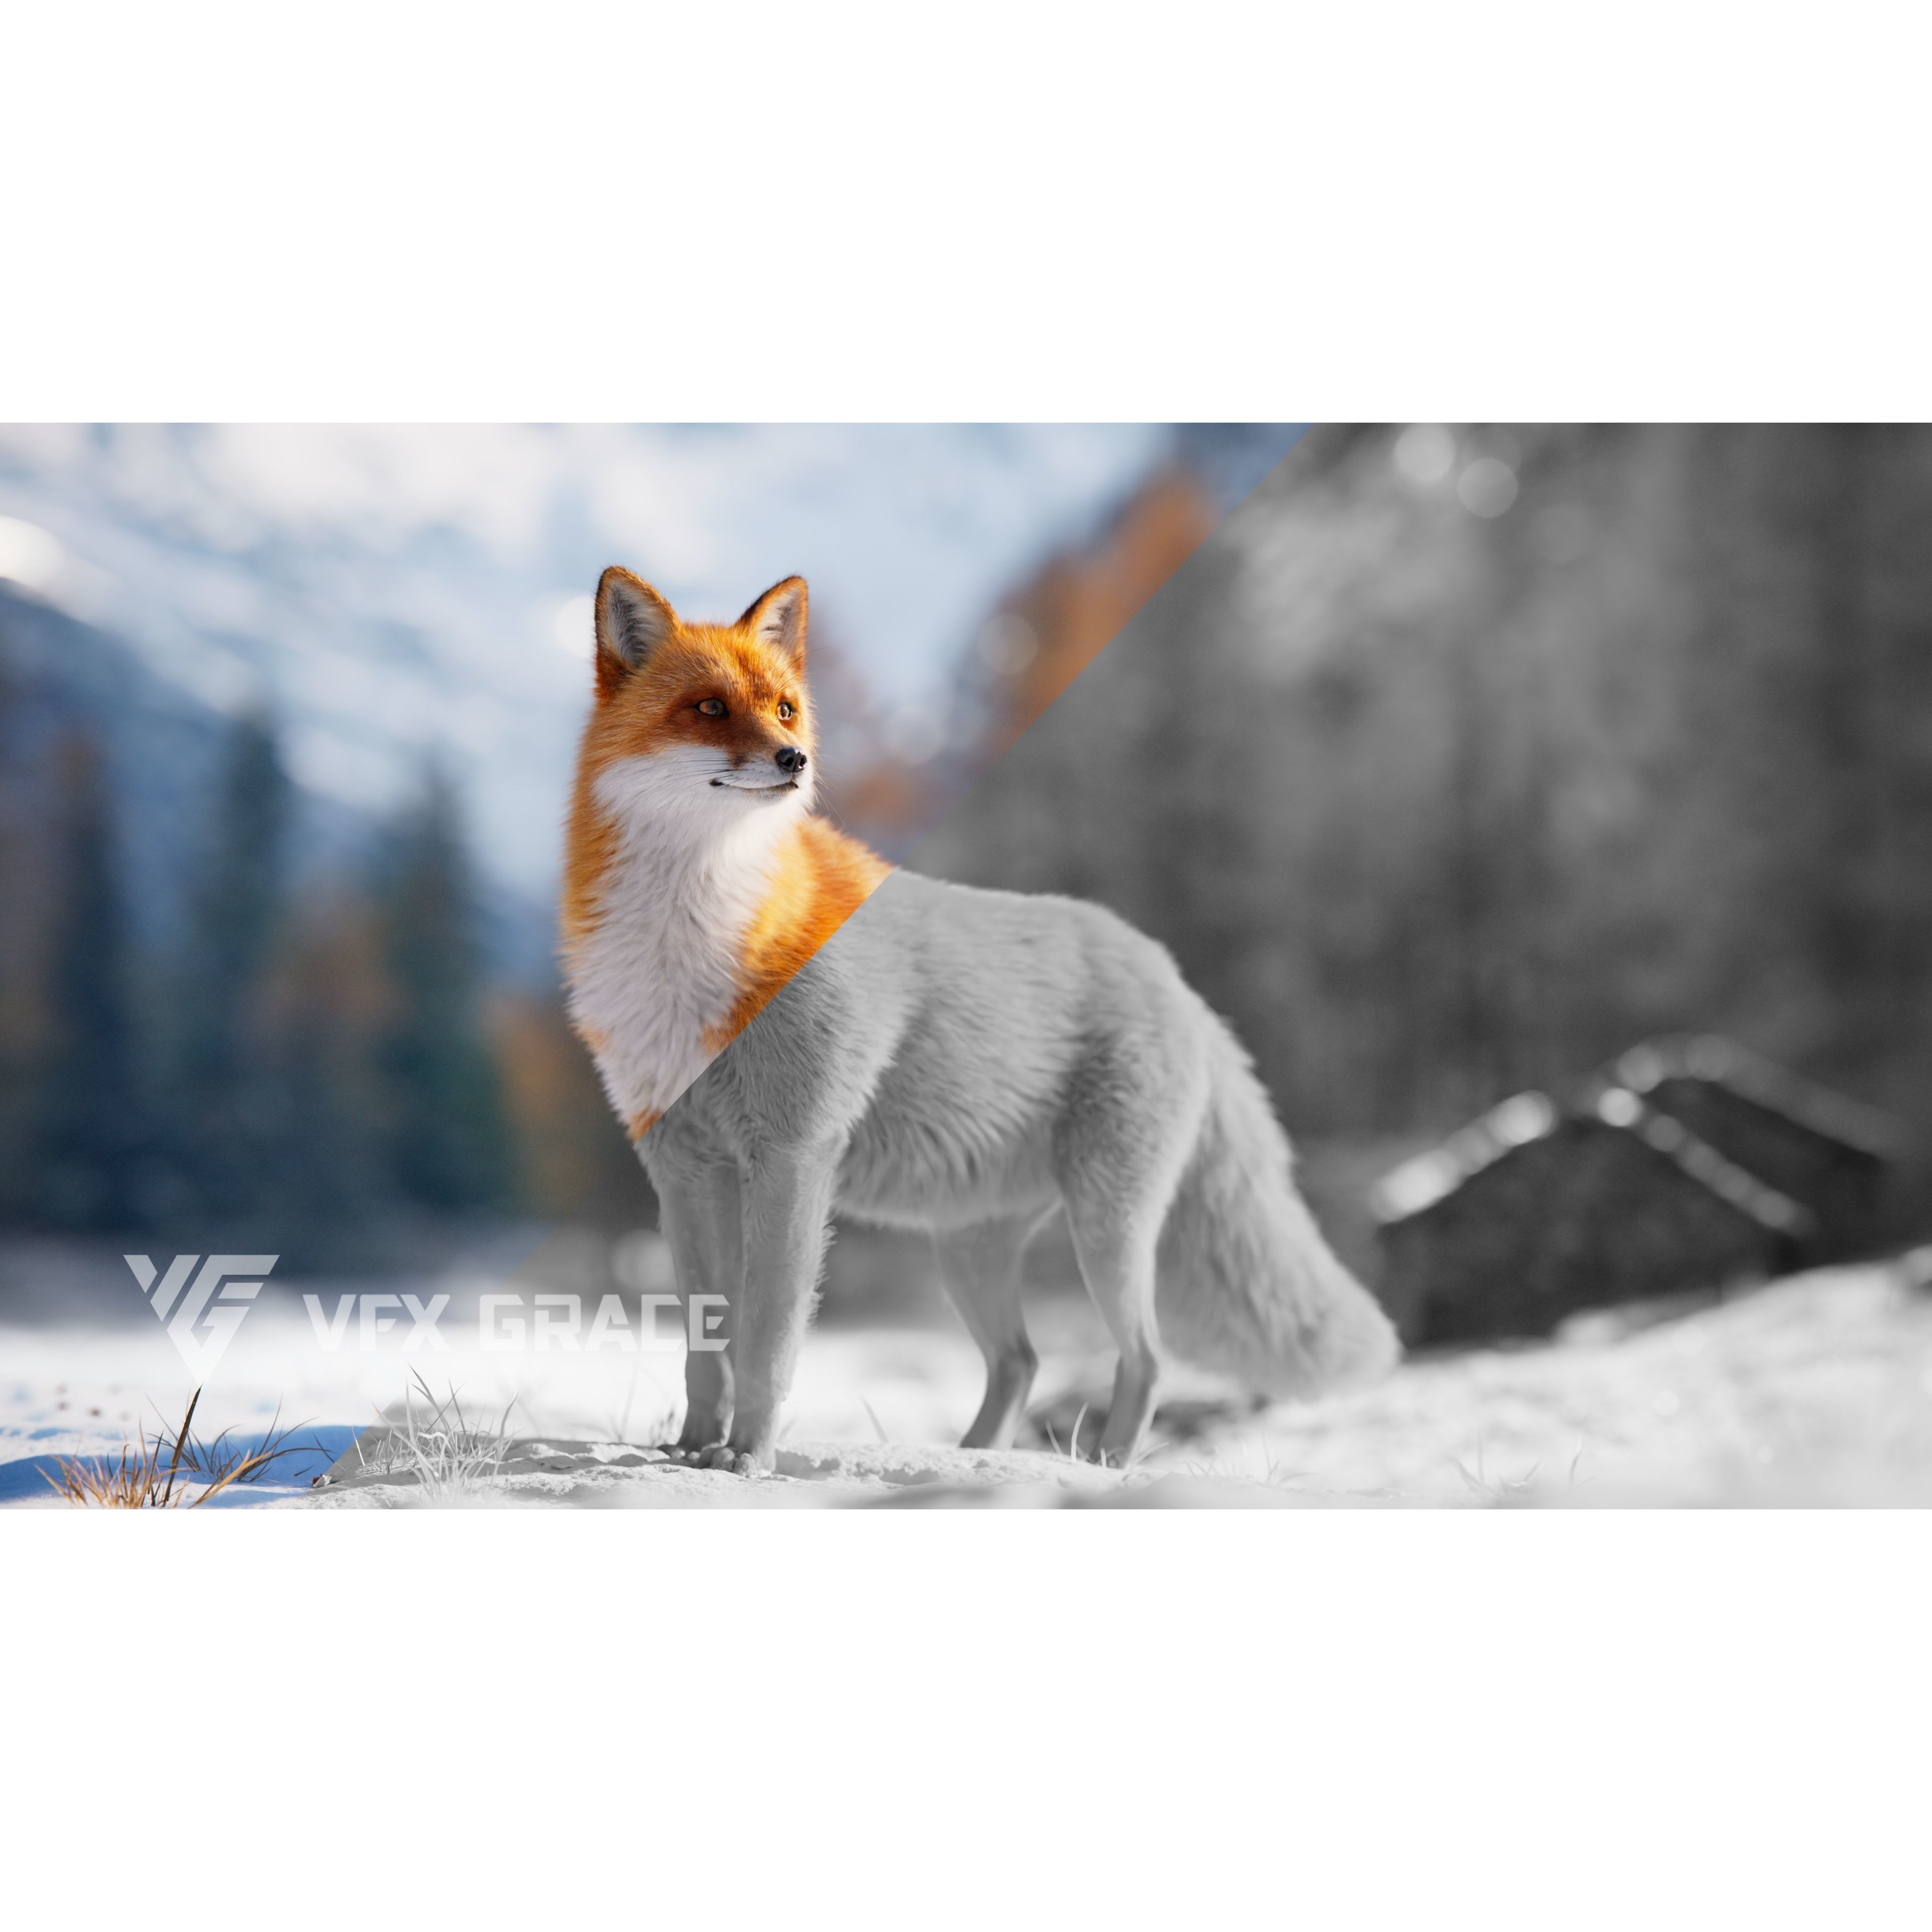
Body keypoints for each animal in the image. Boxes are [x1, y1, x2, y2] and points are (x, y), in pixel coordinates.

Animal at [562, 566, 1399, 1474]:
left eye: (784, 708)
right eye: (710, 708)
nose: (795, 760)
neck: (694, 944)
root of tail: (1174, 976)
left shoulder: (792, 1156)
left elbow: (765, 1341)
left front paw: (747, 1458)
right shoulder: (685, 1174)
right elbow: (704, 1349)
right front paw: (691, 1450)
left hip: (1106, 1230)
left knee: (1146, 1358)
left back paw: (1106, 1465)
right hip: (970, 1251)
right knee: (1021, 1362)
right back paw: (973, 1462)